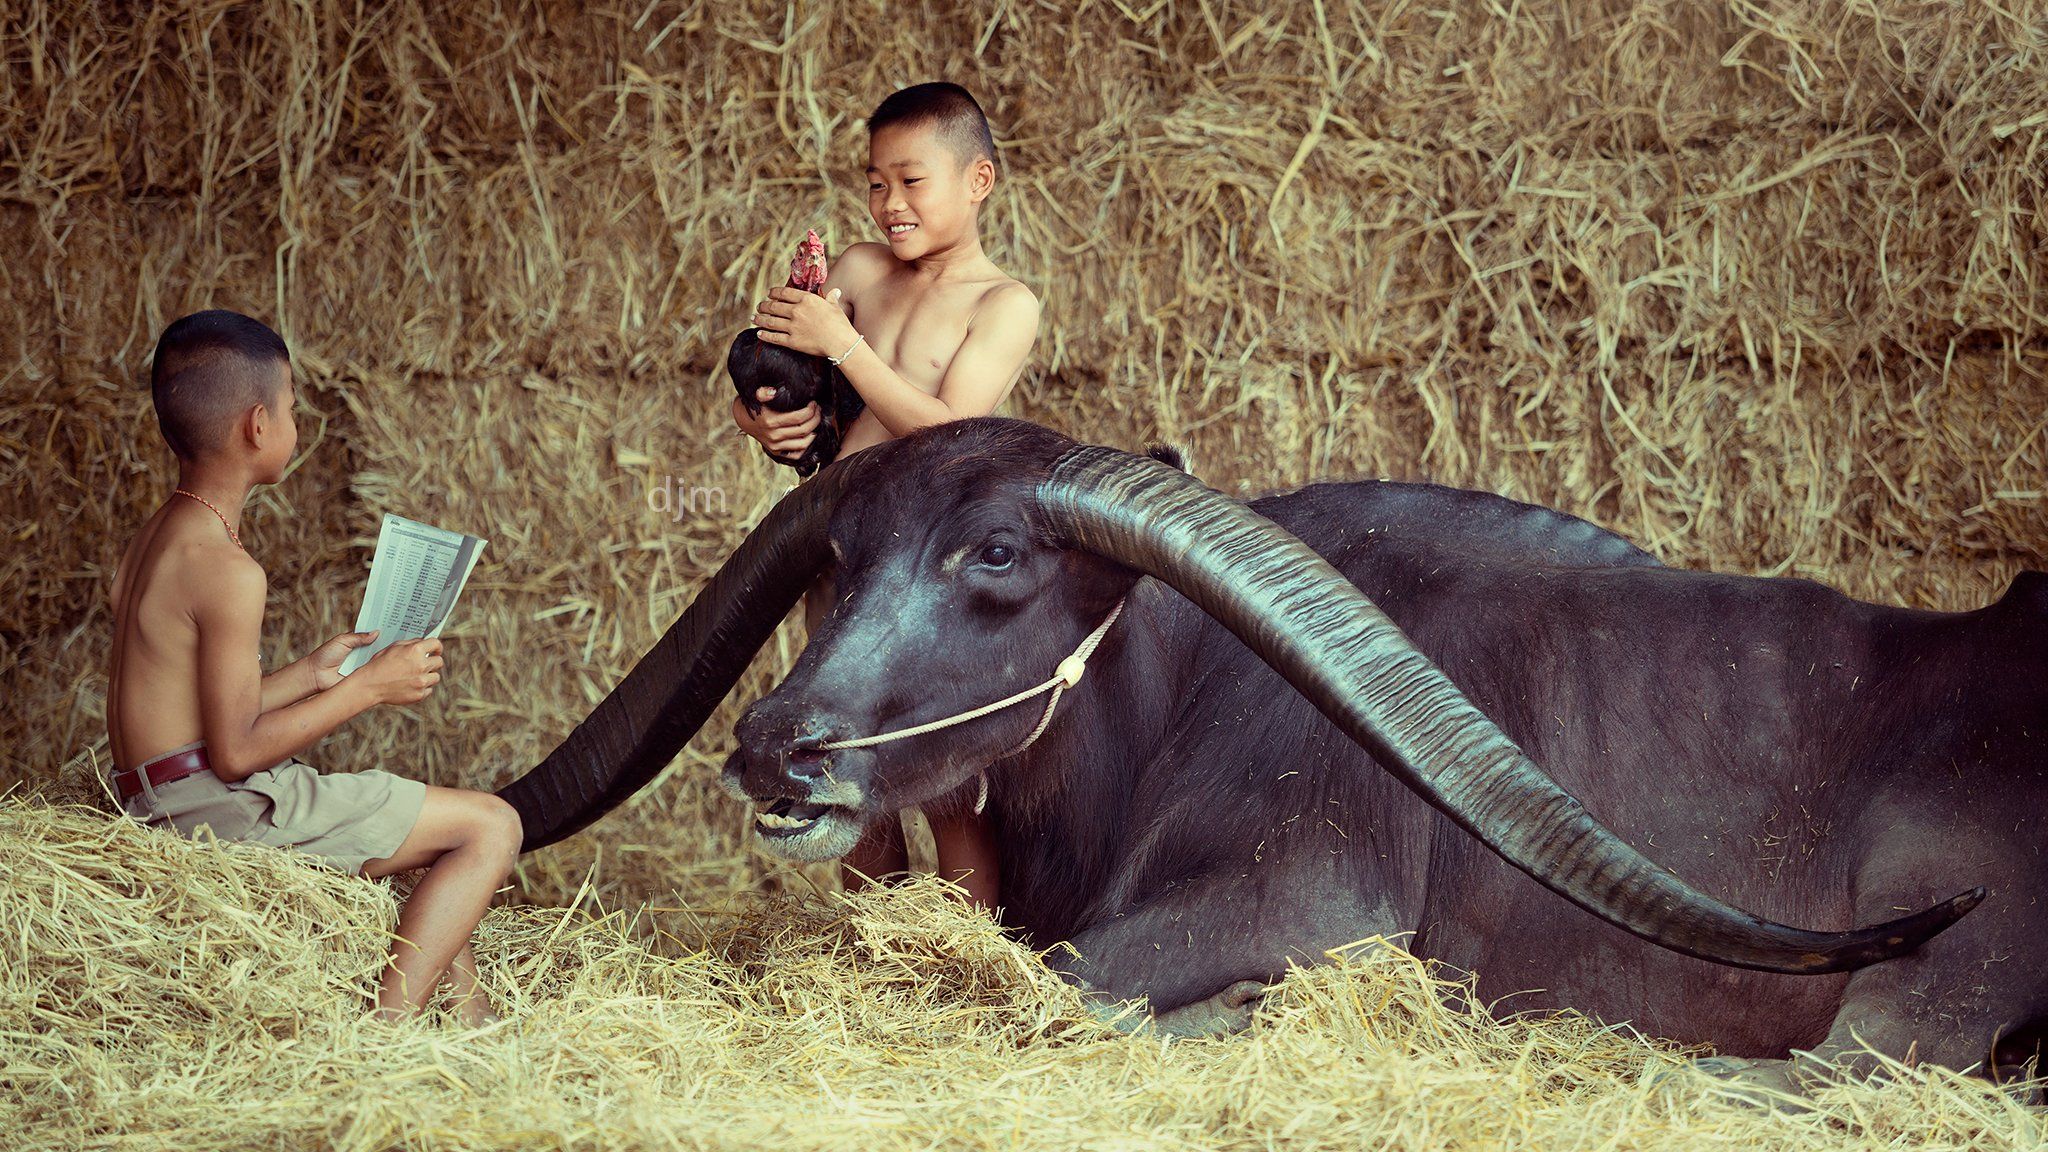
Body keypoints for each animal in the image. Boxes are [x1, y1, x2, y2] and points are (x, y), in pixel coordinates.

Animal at [499, 414, 2048, 1082]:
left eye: (996, 552)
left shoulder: (1296, 897)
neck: (1181, 703)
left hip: (1928, 974)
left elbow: (1063, 987)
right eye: (837, 560)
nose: (779, 748)